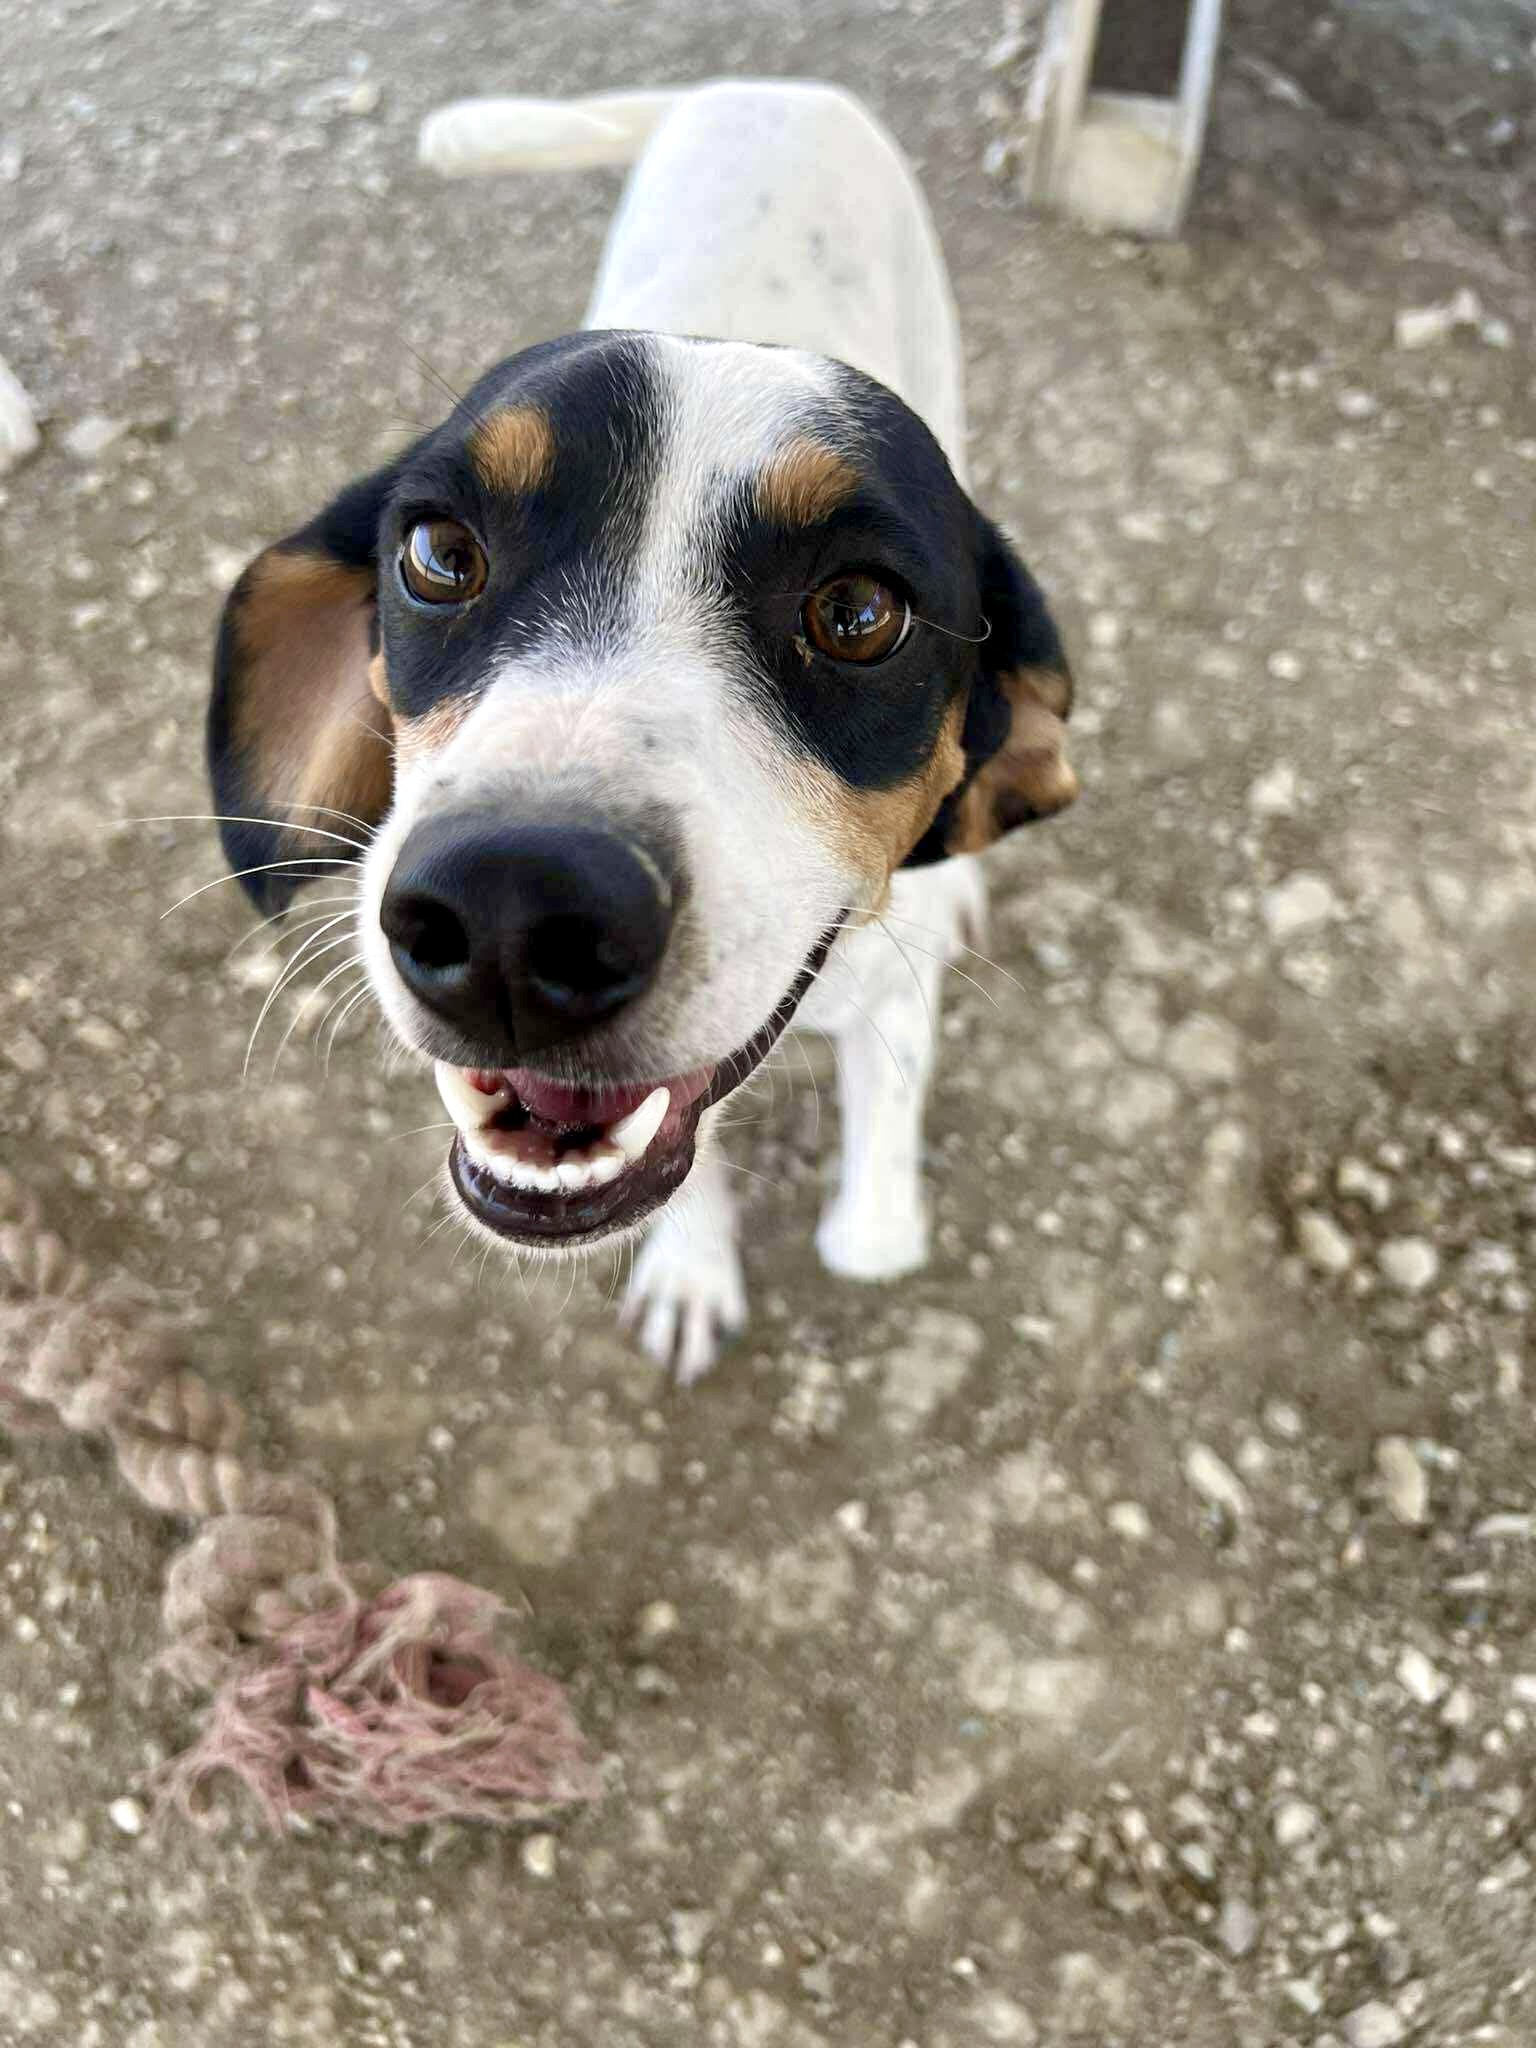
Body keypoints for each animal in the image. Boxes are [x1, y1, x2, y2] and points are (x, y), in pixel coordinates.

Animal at [207, 81, 1078, 1382]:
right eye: (438, 551)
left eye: (860, 613)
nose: (511, 910)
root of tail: (769, 81)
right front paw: (691, 1265)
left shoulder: (885, 994)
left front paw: (869, 1222)